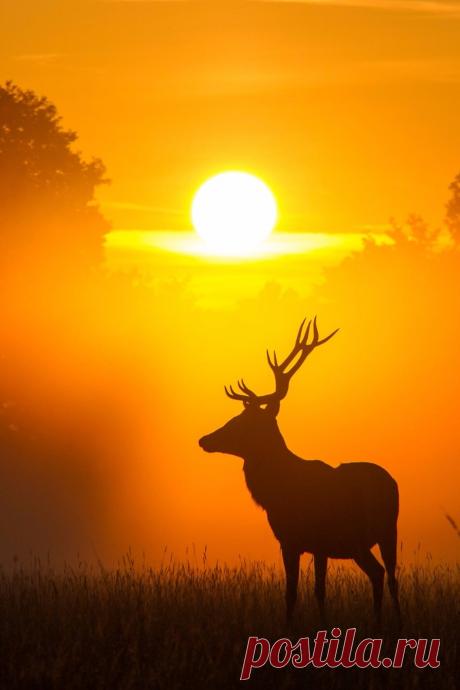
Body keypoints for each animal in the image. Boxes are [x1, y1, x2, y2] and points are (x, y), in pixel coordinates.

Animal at [199, 318, 400, 624]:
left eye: (240, 421)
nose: (204, 439)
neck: (275, 494)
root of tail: (392, 484)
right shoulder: (318, 545)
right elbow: (318, 590)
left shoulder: (292, 539)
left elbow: (293, 592)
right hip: (383, 533)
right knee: (387, 576)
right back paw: (390, 623)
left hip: (367, 534)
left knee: (382, 574)